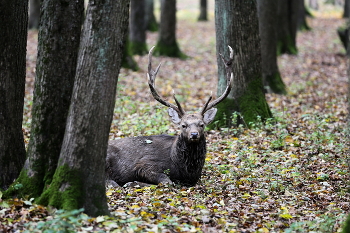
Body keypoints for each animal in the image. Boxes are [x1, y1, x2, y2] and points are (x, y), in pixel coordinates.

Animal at [105, 46, 234, 187]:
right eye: (183, 125)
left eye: (202, 124)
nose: (194, 134)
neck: (183, 169)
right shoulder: (145, 164)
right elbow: (167, 181)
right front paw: (134, 183)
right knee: (110, 182)